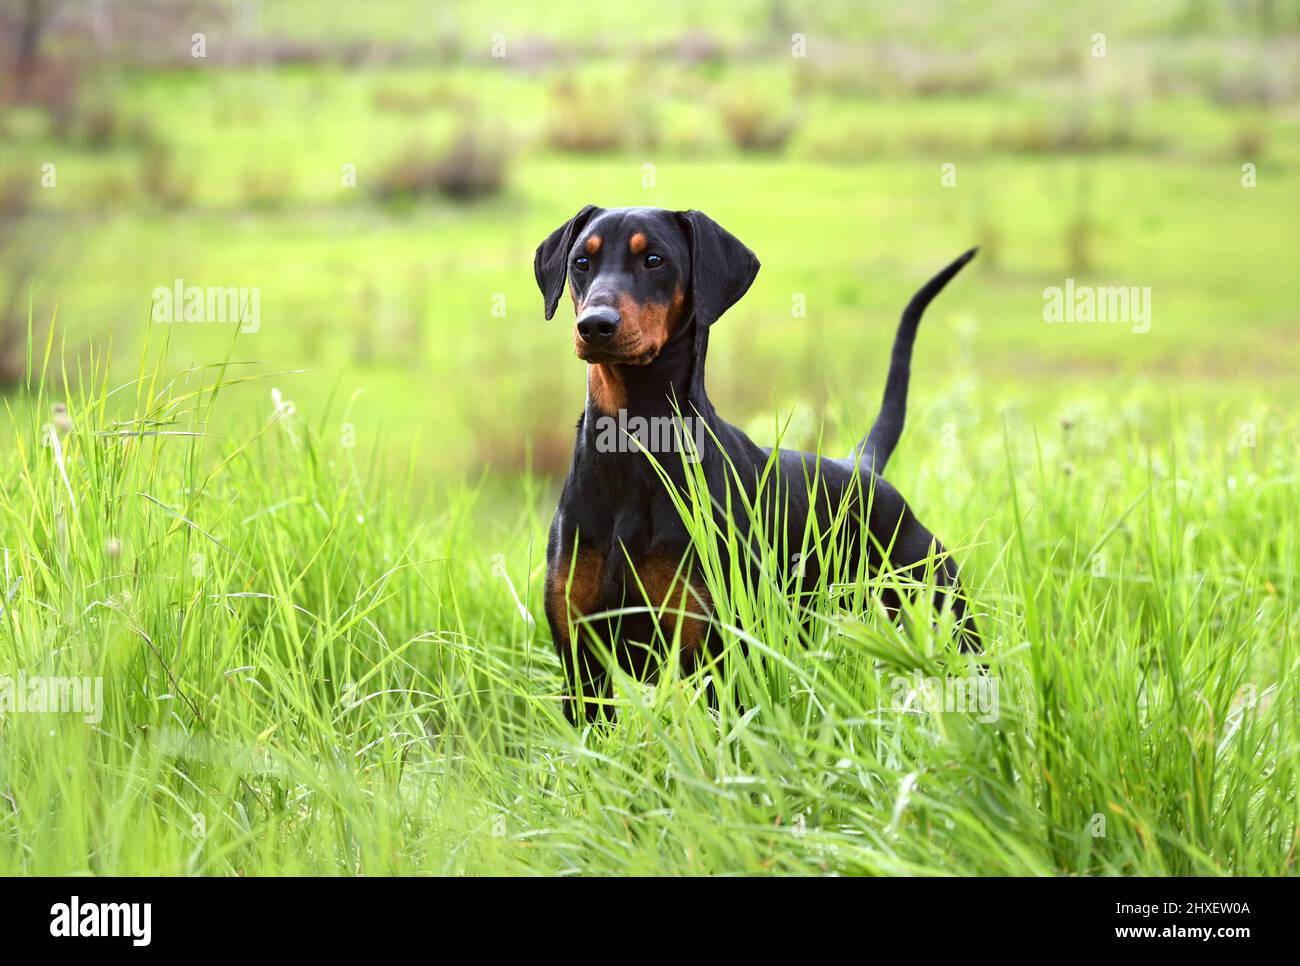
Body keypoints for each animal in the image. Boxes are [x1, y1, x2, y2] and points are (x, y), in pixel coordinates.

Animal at [535, 205, 977, 728]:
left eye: (655, 260)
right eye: (581, 262)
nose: (595, 325)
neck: (631, 449)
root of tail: (863, 468)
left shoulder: (711, 655)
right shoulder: (582, 665)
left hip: (945, 615)